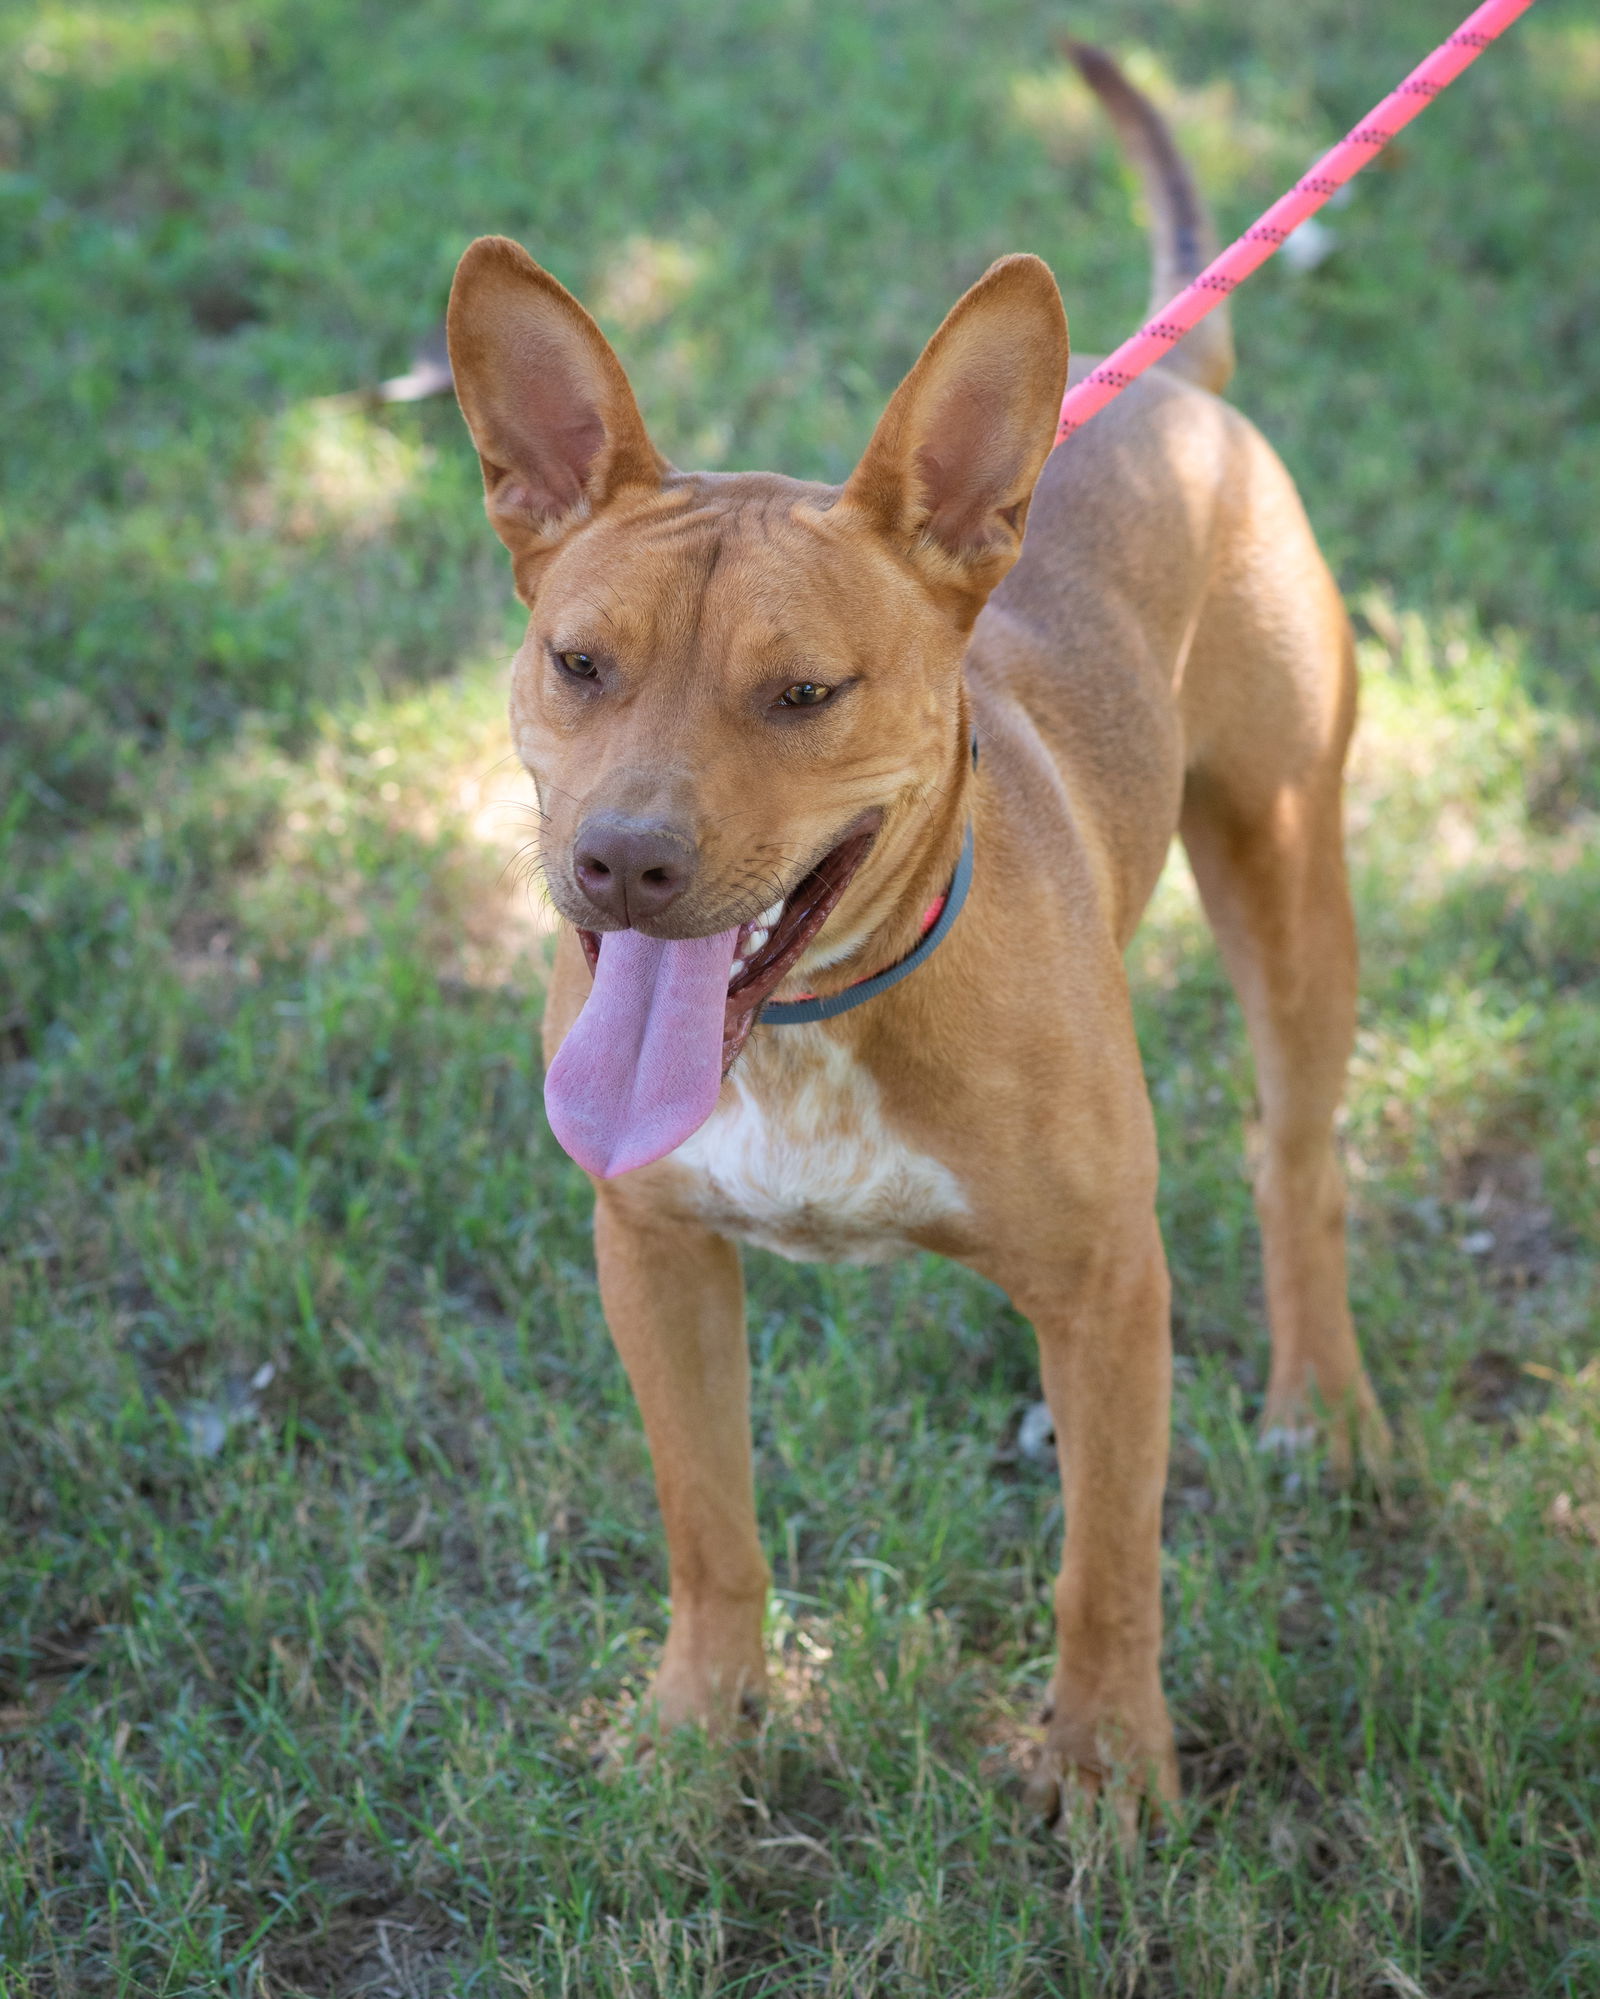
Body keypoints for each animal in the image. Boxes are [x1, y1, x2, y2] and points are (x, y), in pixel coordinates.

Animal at [440, 42, 1384, 1831]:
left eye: (806, 691)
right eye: (579, 661)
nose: (621, 863)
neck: (813, 1022)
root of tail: (1166, 388)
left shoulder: (1106, 1285)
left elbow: (1108, 1564)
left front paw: (1105, 1767)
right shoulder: (651, 1251)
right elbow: (709, 1524)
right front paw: (702, 1730)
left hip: (1290, 868)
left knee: (1294, 1161)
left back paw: (1329, 1404)